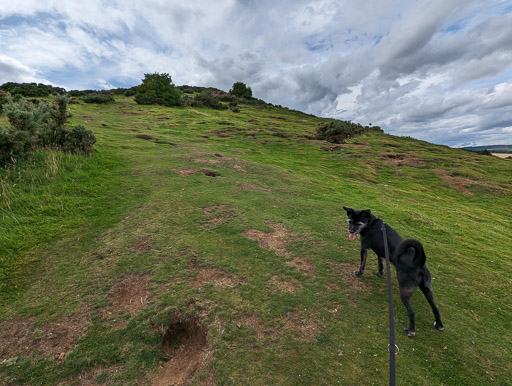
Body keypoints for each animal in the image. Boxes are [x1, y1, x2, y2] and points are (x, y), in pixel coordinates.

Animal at [342, 207, 442, 336]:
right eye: (350, 221)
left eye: (358, 223)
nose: (351, 231)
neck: (370, 223)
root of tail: (419, 263)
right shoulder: (380, 251)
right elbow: (380, 262)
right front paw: (380, 273)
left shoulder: (364, 248)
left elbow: (362, 264)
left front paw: (359, 273)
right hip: (427, 289)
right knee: (435, 308)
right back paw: (439, 325)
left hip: (404, 291)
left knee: (411, 312)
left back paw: (411, 331)